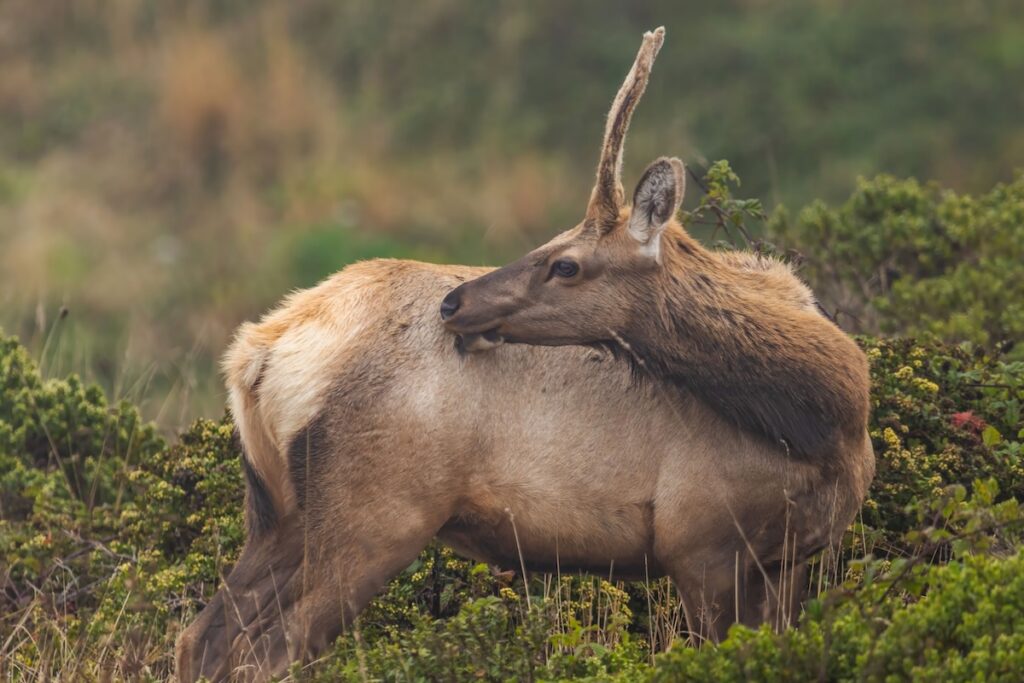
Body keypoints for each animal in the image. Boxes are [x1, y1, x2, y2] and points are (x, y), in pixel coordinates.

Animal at [176, 27, 874, 682]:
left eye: (564, 262)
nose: (454, 303)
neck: (826, 425)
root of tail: (257, 354)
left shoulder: (789, 558)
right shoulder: (698, 538)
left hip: (280, 512)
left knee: (203, 636)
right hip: (375, 512)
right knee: (271, 649)